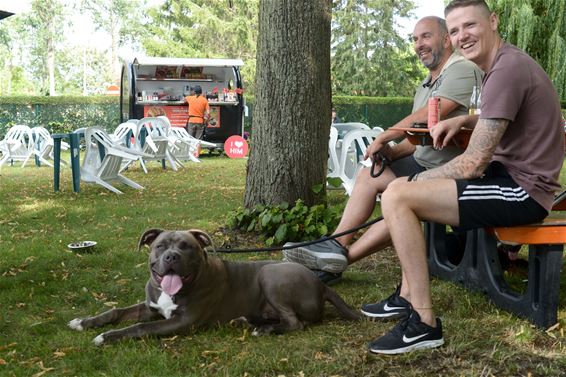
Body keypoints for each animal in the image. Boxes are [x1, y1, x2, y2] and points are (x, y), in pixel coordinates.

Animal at [69, 226, 362, 344]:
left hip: (271, 274)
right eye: (160, 246)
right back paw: (246, 322)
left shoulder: (182, 322)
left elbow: (141, 327)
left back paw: (263, 330)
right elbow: (116, 311)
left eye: (186, 246)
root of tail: (321, 284)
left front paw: (107, 337)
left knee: (295, 322)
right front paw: (85, 322)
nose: (171, 257)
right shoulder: (150, 306)